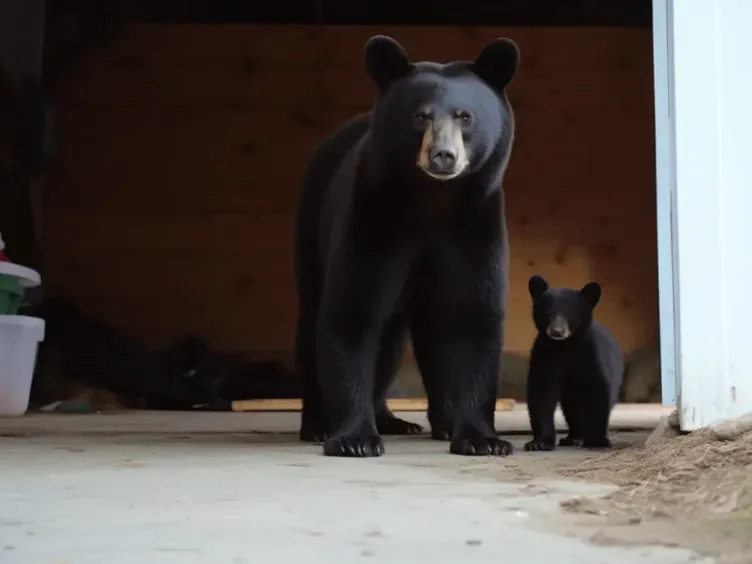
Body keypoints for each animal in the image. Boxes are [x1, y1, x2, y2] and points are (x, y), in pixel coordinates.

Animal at [293, 34, 520, 457]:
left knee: (408, 341)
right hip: (312, 222)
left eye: (465, 116)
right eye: (421, 116)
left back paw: (420, 421)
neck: (433, 200)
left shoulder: (475, 227)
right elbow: (351, 314)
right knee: (313, 315)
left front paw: (482, 439)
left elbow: (474, 316)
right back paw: (317, 424)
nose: (443, 156)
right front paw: (355, 439)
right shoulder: (374, 218)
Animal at [522, 275, 624, 452]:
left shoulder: (591, 355)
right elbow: (541, 394)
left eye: (570, 314)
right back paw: (573, 437)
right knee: (572, 408)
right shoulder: (544, 355)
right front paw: (539, 442)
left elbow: (598, 391)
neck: (565, 346)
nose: (557, 331)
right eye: (548, 313)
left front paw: (598, 440)